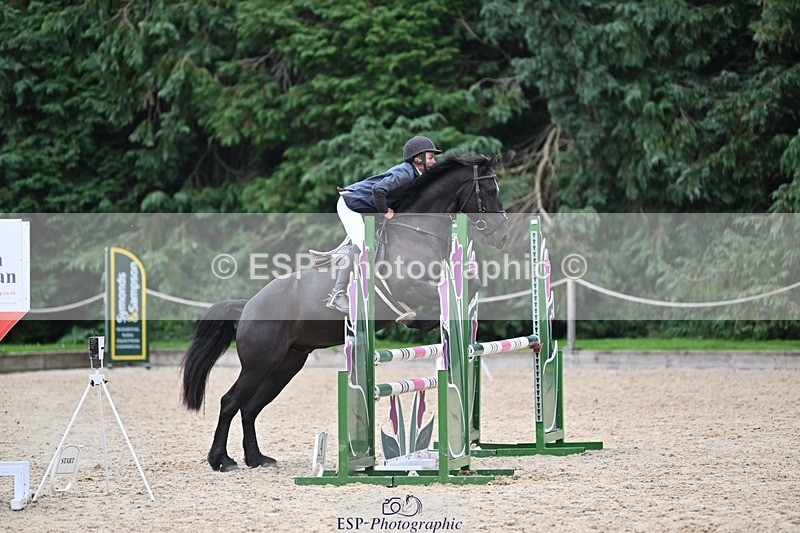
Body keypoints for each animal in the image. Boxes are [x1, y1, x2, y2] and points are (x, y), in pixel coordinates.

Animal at [181, 154, 509, 471]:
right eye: (490, 191)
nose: (503, 236)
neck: (418, 233)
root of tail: (249, 304)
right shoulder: (409, 286)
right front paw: (420, 319)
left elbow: (470, 284)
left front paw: (422, 321)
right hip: (259, 363)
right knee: (230, 402)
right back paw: (222, 461)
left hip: (287, 363)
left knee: (250, 407)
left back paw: (257, 458)